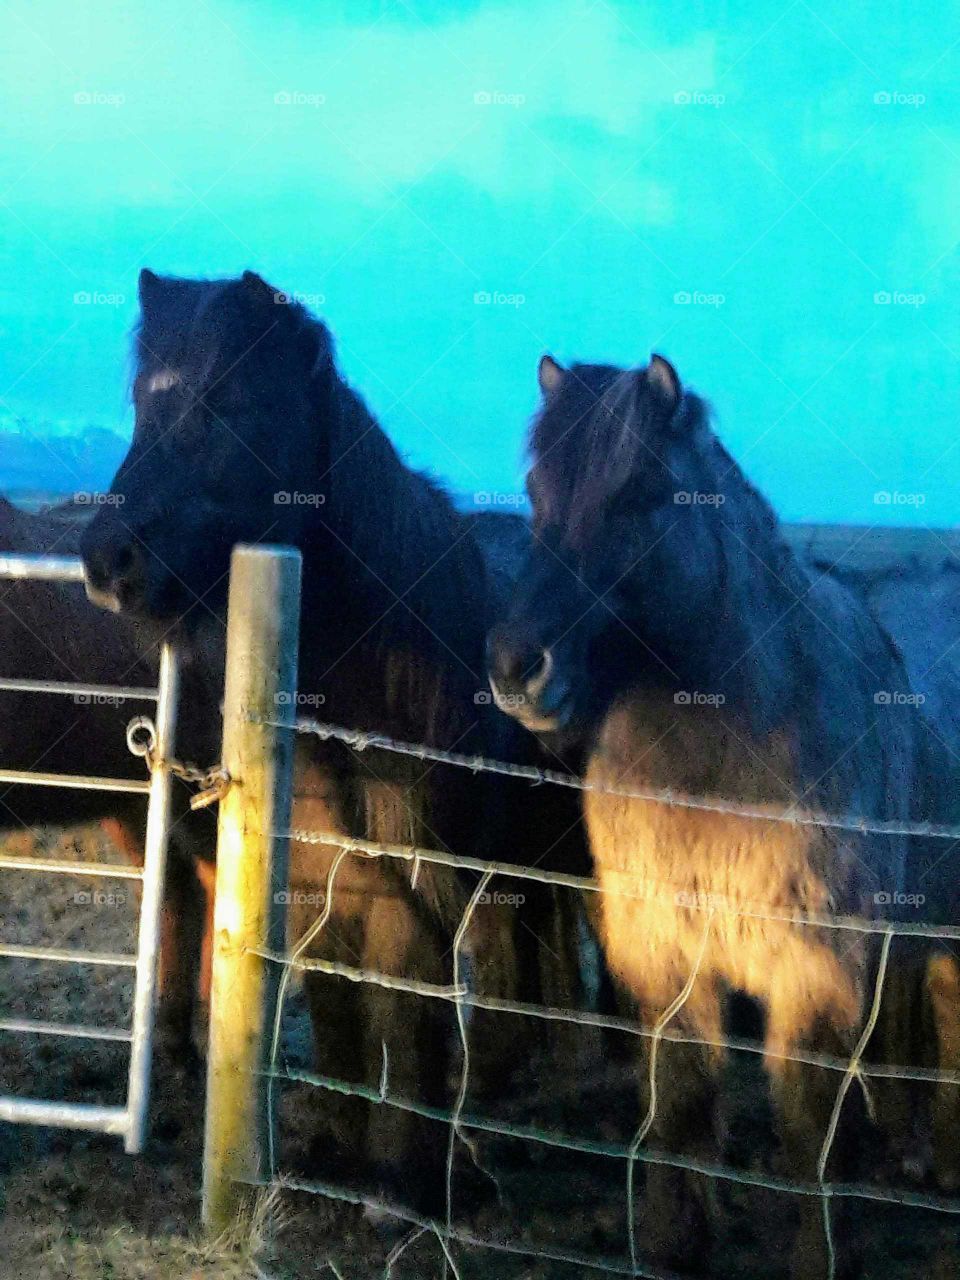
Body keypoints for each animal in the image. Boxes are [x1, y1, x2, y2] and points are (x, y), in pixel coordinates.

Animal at [80, 267, 593, 1208]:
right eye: (141, 402)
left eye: (227, 401)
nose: (106, 560)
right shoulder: (320, 874)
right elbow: (338, 1007)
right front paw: (338, 1146)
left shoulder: (412, 885)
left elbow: (401, 1006)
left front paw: (399, 1181)